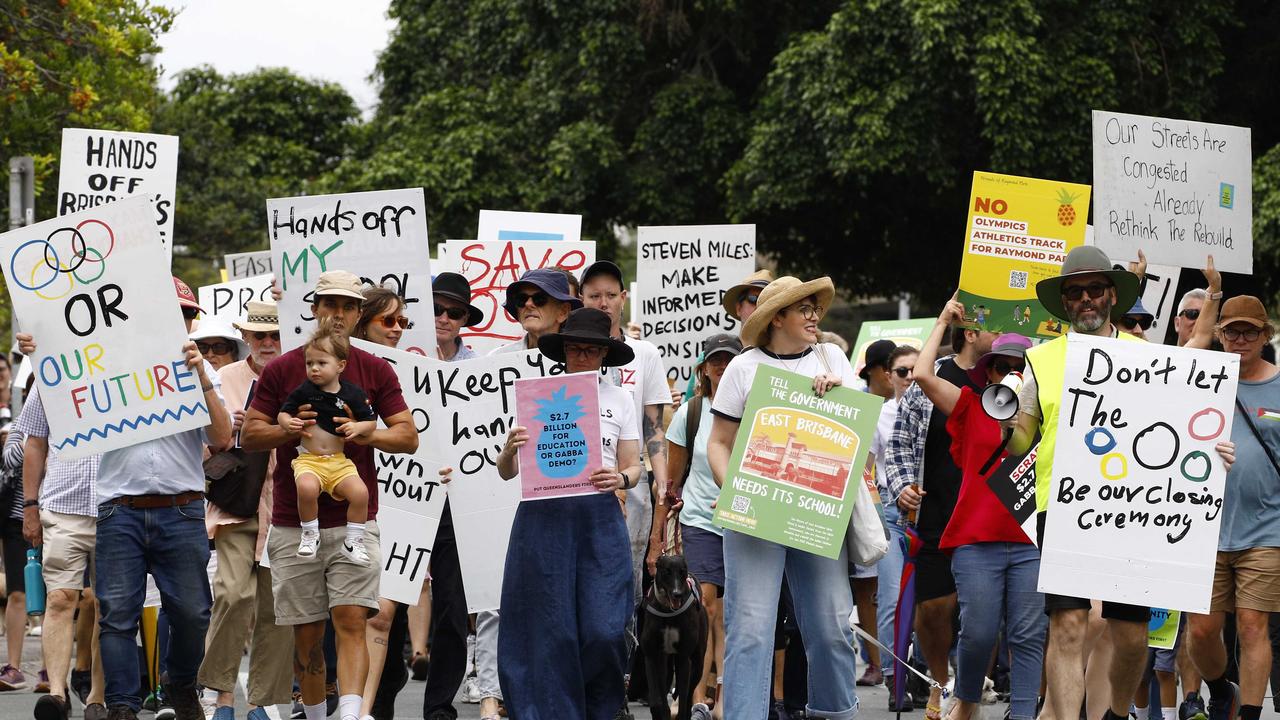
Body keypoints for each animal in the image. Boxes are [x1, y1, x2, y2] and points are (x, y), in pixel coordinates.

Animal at [640, 556, 711, 717]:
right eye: (667, 571)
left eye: (682, 571)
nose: (677, 594)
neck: (667, 611)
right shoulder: (651, 655)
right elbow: (657, 701)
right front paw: (660, 711)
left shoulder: (684, 658)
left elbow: (683, 700)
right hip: (666, 662)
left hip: (698, 664)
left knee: (689, 693)